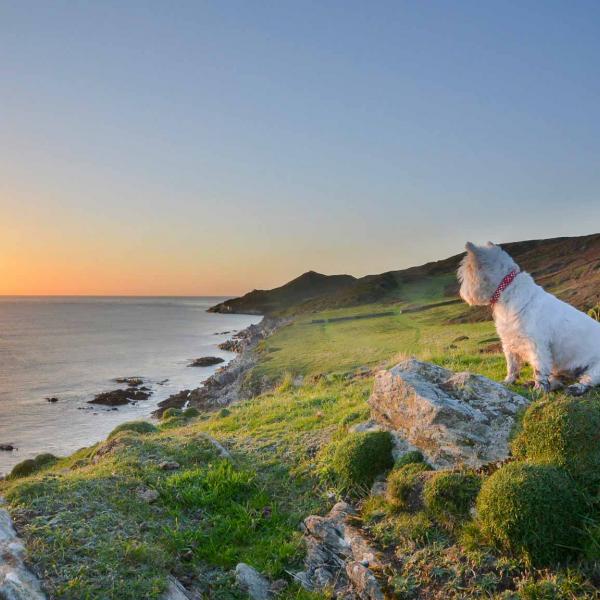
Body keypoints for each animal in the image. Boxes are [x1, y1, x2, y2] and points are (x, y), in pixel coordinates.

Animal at [460, 241, 600, 396]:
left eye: (464, 274)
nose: (461, 293)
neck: (507, 292)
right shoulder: (509, 342)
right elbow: (512, 365)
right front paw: (508, 381)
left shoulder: (537, 345)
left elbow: (539, 369)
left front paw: (539, 390)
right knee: (558, 378)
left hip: (596, 368)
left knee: (588, 379)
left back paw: (575, 388)